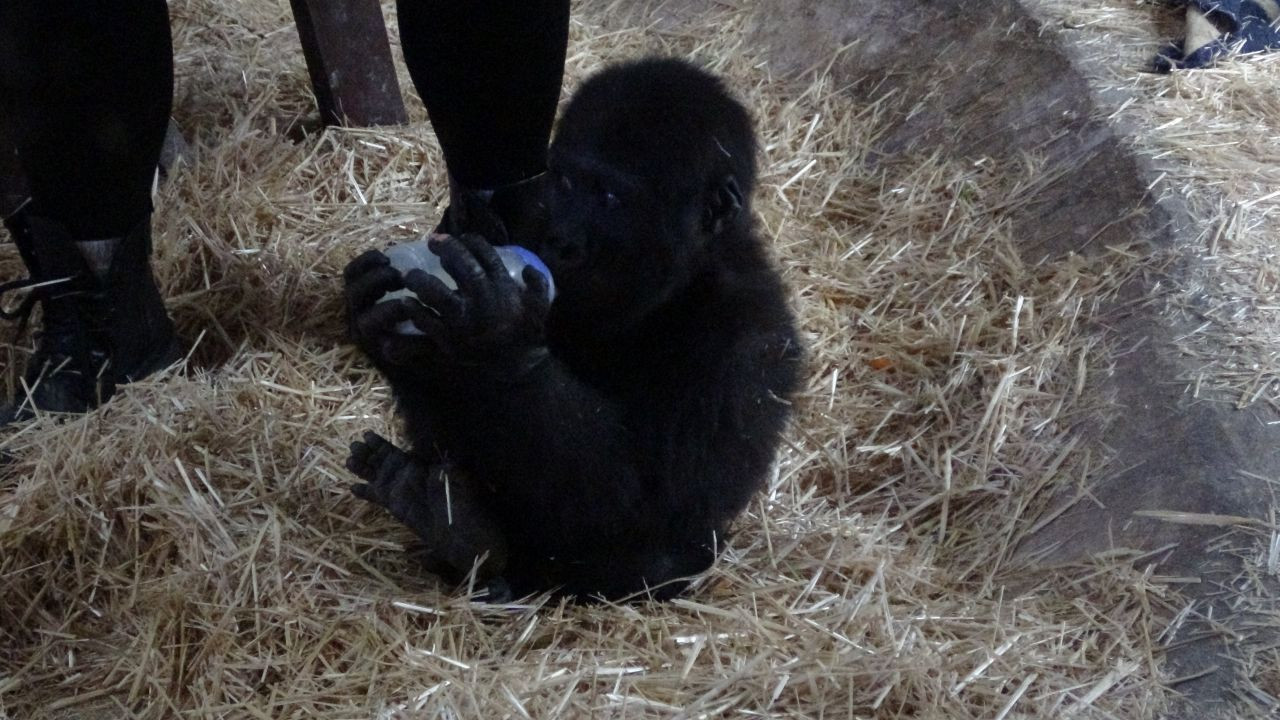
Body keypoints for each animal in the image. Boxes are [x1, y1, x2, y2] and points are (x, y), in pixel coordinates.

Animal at [340, 58, 798, 599]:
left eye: (610, 196)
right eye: (564, 183)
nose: (562, 240)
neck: (681, 280)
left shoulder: (749, 343)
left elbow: (649, 506)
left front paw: (501, 337)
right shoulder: (515, 219)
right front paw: (387, 331)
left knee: (654, 557)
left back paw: (471, 539)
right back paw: (450, 523)